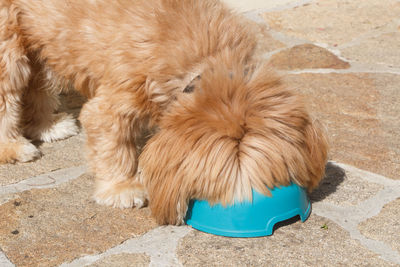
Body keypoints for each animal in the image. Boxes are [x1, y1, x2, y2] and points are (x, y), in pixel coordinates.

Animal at [0, 0, 328, 226]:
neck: (205, 62)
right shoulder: (113, 104)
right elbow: (114, 148)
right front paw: (122, 187)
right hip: (8, 42)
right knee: (8, 93)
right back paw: (13, 146)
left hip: (41, 37)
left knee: (37, 81)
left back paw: (47, 125)